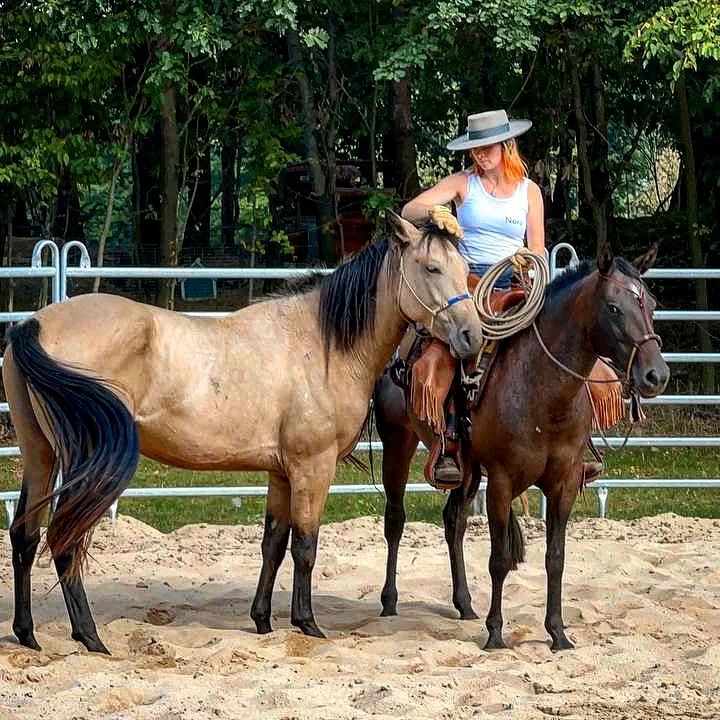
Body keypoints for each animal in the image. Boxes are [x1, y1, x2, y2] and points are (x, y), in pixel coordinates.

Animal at [2, 212, 484, 652]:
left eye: (465, 269)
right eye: (432, 268)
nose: (471, 336)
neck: (320, 343)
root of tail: (33, 325)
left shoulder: (281, 472)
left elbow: (273, 543)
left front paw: (263, 621)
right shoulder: (313, 467)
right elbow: (305, 545)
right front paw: (307, 623)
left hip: (40, 453)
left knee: (25, 536)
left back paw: (28, 635)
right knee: (64, 539)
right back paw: (90, 637)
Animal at [374, 243, 672, 652]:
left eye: (652, 304)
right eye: (613, 307)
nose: (656, 374)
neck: (543, 391)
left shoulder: (564, 483)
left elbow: (555, 558)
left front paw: (558, 633)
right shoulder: (501, 482)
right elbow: (499, 559)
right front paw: (496, 633)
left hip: (466, 467)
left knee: (454, 521)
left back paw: (465, 604)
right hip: (397, 442)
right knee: (395, 519)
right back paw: (389, 601)